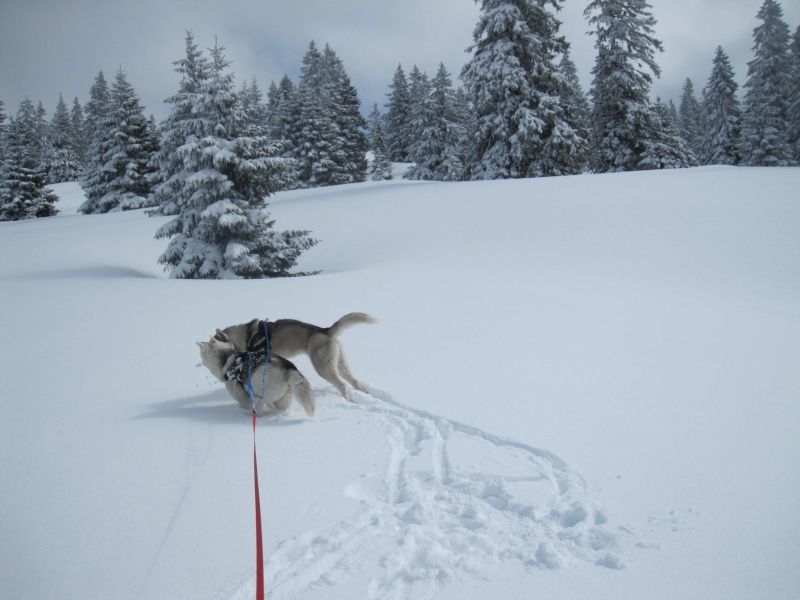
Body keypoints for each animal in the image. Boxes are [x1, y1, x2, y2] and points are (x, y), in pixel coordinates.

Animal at [219, 312, 378, 400]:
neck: (248, 338)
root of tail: (325, 330)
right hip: (340, 364)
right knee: (355, 382)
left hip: (324, 368)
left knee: (343, 385)